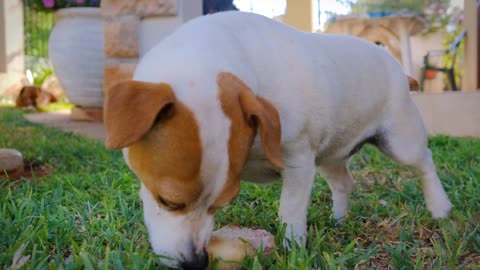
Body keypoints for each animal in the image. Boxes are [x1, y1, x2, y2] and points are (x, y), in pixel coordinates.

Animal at [103, 11, 452, 268]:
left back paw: (440, 206)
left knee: (425, 162)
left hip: (400, 141)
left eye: (223, 203)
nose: (196, 263)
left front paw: (293, 248)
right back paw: (339, 219)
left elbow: (291, 212)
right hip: (330, 155)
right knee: (344, 182)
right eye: (168, 201)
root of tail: (392, 61)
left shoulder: (298, 164)